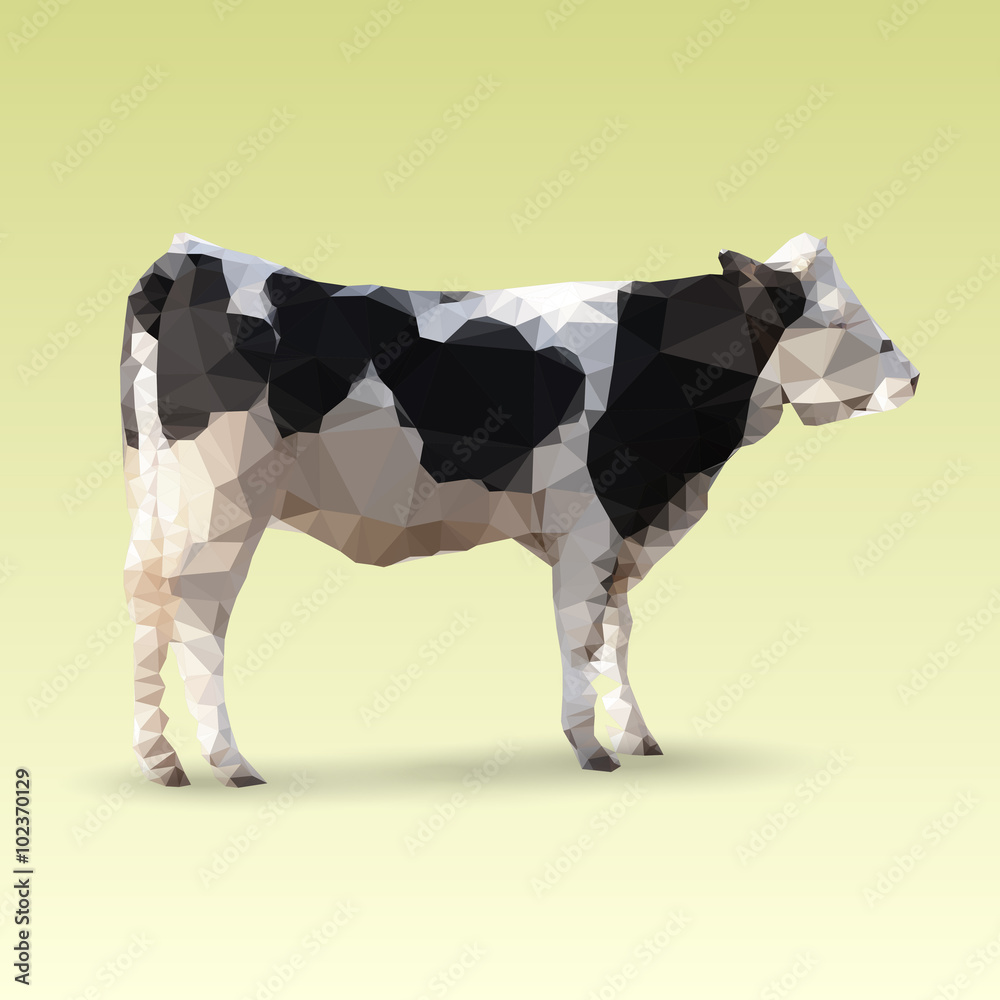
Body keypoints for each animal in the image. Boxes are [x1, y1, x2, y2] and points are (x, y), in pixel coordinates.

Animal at [121, 232, 918, 787]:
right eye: (838, 321)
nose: (912, 376)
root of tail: (187, 258)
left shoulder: (628, 526)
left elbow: (616, 632)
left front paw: (635, 735)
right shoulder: (593, 522)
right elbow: (580, 634)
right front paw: (591, 747)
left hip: (158, 500)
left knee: (146, 605)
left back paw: (161, 761)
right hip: (221, 502)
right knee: (199, 620)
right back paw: (230, 762)